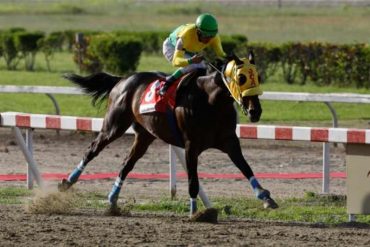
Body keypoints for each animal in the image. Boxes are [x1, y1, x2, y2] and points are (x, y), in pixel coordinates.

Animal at [58, 53, 278, 218]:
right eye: (241, 78)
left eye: (258, 76)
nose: (255, 112)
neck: (210, 102)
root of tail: (122, 79)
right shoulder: (191, 146)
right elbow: (193, 181)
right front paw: (196, 213)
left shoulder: (229, 141)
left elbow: (246, 167)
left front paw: (266, 197)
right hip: (114, 126)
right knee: (92, 150)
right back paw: (67, 182)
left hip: (145, 136)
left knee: (126, 164)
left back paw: (112, 201)